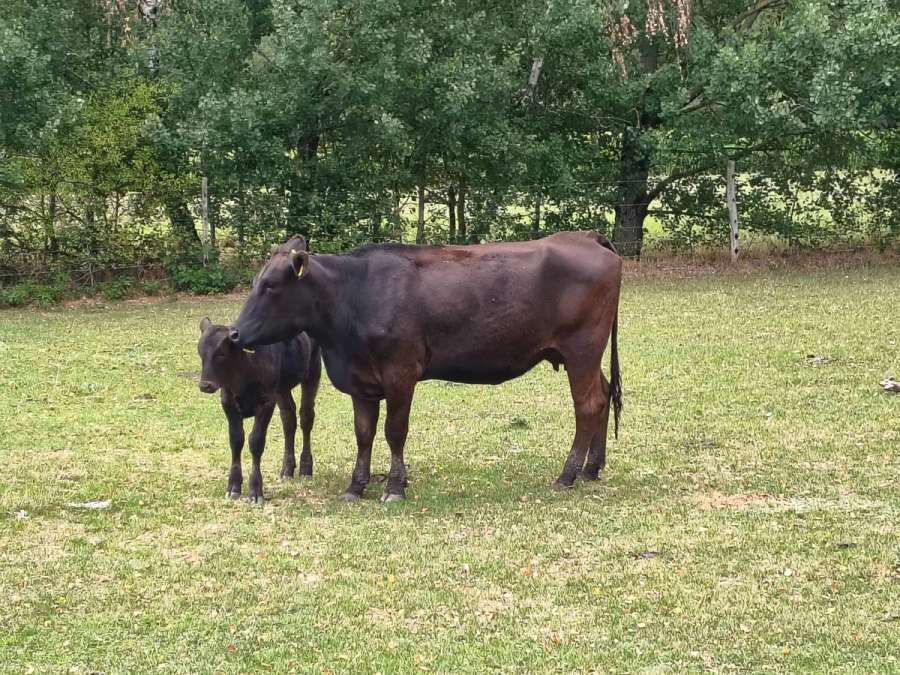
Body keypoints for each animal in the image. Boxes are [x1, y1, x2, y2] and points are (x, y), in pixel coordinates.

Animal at [197, 317, 322, 504]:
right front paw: (233, 487)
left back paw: (306, 468)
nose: (205, 385)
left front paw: (255, 490)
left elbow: (256, 442)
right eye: (200, 353)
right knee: (288, 418)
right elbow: (236, 440)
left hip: (312, 372)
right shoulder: (227, 402)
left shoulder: (266, 402)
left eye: (221, 354)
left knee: (306, 417)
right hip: (281, 389)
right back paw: (287, 469)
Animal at [228, 231, 622, 502]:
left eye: (271, 286)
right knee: (604, 395)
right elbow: (364, 433)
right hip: (586, 355)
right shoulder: (360, 380)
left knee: (588, 405)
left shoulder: (401, 373)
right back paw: (591, 468)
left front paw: (395, 487)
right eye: (256, 282)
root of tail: (586, 236)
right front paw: (356, 486)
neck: (356, 295)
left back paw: (567, 475)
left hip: (582, 348)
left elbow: (394, 431)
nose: (234, 333)